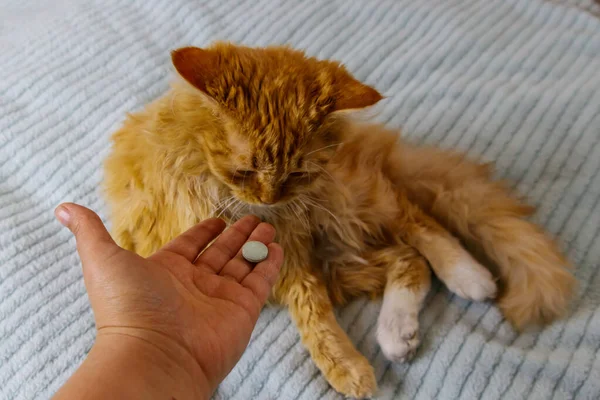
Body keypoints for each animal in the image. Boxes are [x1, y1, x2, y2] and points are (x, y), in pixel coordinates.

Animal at [103, 42, 576, 398]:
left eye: (296, 174)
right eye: (244, 171)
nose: (271, 198)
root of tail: (365, 142)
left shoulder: (294, 253)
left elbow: (315, 316)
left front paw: (347, 369)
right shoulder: (292, 263)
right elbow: (316, 318)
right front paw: (349, 367)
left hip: (353, 202)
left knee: (418, 223)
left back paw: (467, 276)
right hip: (341, 260)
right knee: (410, 262)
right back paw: (397, 334)